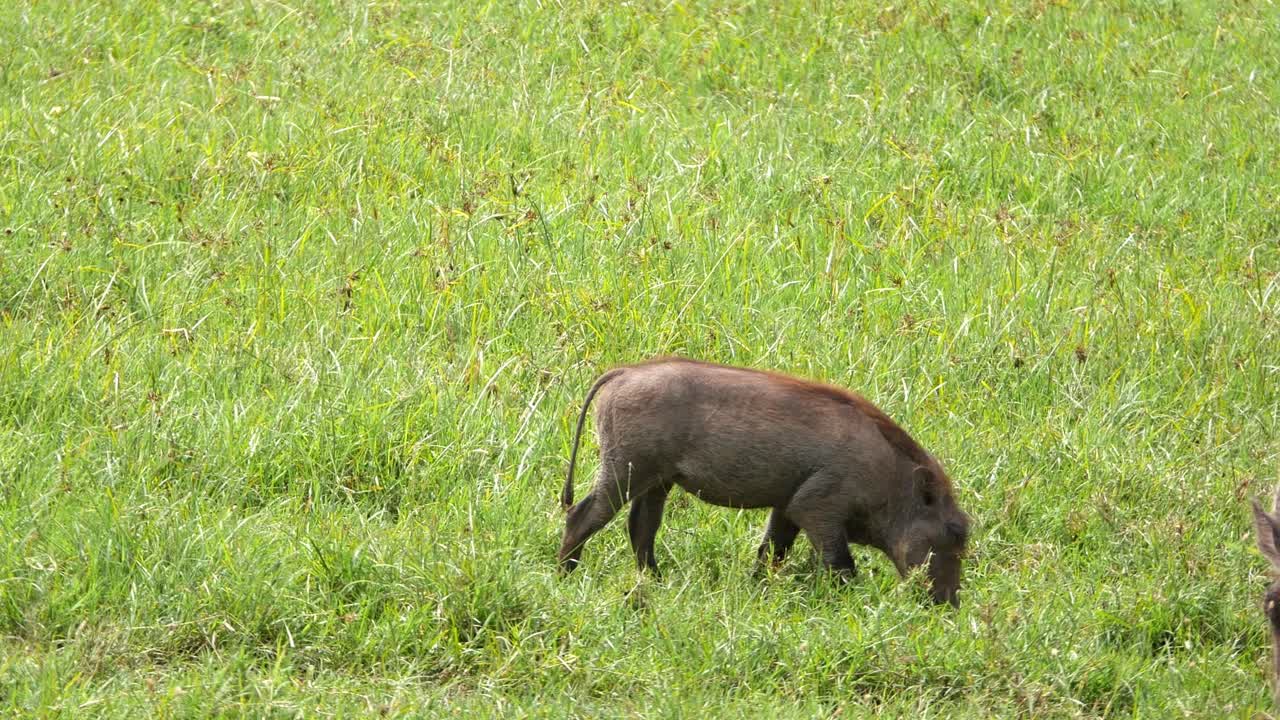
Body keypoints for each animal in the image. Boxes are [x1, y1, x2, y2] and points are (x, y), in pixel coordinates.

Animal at [557, 357, 971, 606]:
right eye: (954, 531)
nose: (948, 607)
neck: (891, 485)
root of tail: (624, 372)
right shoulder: (819, 507)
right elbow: (841, 564)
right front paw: (851, 605)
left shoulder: (789, 505)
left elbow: (772, 551)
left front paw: (757, 592)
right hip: (626, 468)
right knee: (583, 516)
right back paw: (565, 577)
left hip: (657, 479)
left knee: (641, 527)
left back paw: (658, 585)